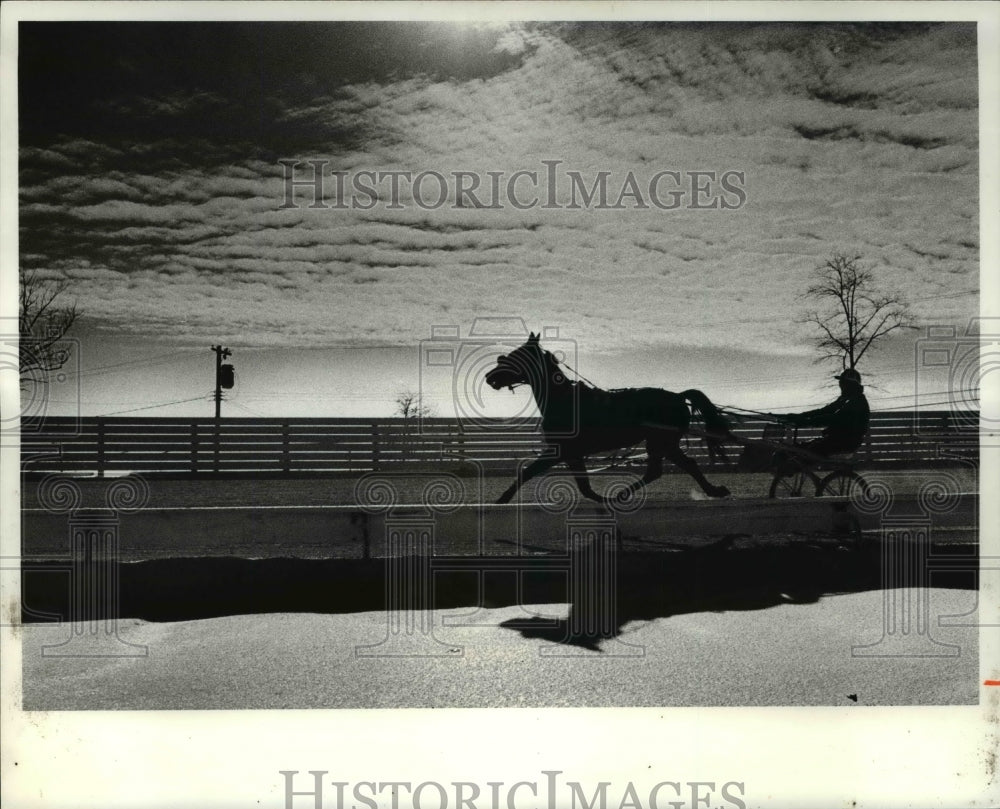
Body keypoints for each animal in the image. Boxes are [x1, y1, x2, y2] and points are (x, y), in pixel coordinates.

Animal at [484, 332, 736, 502]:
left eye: (516, 357)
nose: (489, 377)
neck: (563, 400)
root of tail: (678, 396)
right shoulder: (571, 453)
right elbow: (583, 486)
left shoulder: (562, 451)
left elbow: (528, 473)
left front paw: (501, 500)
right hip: (662, 443)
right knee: (669, 468)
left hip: (661, 442)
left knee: (674, 468)